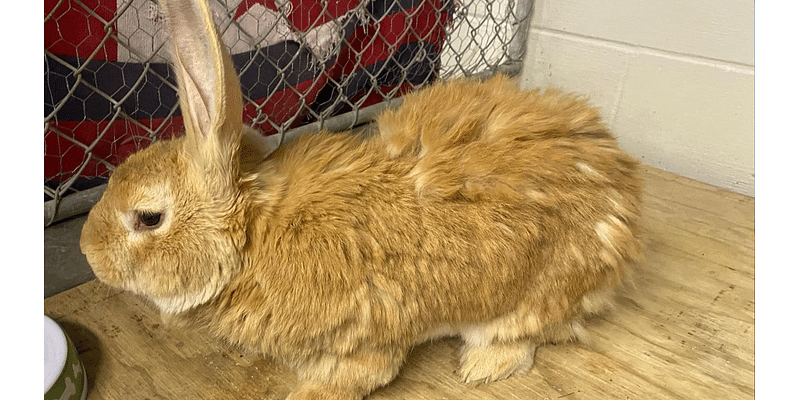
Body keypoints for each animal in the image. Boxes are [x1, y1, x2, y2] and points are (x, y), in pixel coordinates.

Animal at [79, 0, 644, 396]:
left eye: (148, 218)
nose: (87, 251)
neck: (255, 235)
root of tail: (623, 187)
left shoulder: (362, 341)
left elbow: (358, 377)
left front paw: (307, 395)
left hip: (533, 296)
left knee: (526, 336)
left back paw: (481, 367)